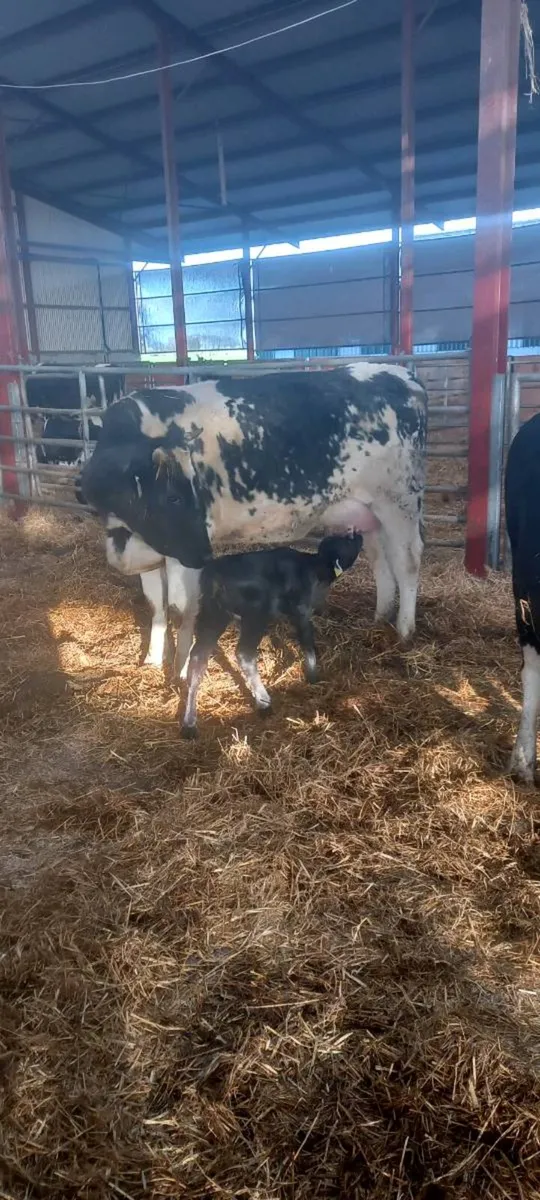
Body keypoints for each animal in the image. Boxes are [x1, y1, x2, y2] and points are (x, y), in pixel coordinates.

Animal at [77, 363, 428, 680]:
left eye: (194, 489)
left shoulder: (181, 552)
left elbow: (181, 610)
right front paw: (151, 660)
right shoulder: (149, 551)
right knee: (381, 561)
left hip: (400, 502)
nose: (206, 553)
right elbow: (156, 606)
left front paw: (181, 672)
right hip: (369, 512)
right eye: (173, 497)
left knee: (407, 562)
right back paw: (380, 616)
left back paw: (404, 630)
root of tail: (402, 374)